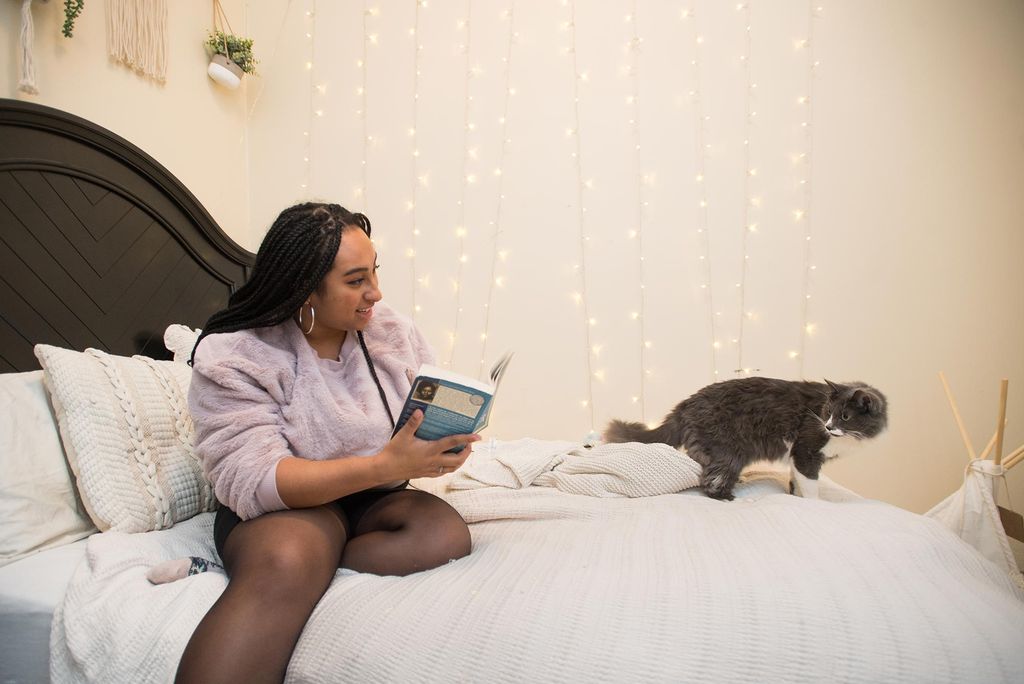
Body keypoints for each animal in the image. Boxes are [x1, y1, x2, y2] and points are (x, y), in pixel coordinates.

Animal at [602, 376, 884, 499]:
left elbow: (796, 481)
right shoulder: (807, 451)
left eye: (844, 416)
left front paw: (794, 496)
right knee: (711, 481)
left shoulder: (798, 457)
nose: (828, 426)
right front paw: (813, 504)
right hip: (729, 452)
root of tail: (687, 402)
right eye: (827, 412)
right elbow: (810, 485)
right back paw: (727, 496)